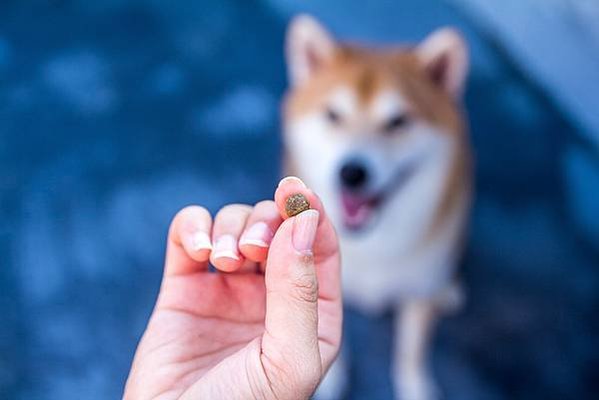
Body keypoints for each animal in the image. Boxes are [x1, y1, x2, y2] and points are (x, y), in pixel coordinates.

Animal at [282, 14, 474, 400]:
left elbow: (412, 349)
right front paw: (330, 380)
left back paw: (448, 292)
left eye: (398, 121)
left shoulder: (419, 289)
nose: (352, 172)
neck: (372, 246)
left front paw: (416, 387)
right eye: (333, 115)